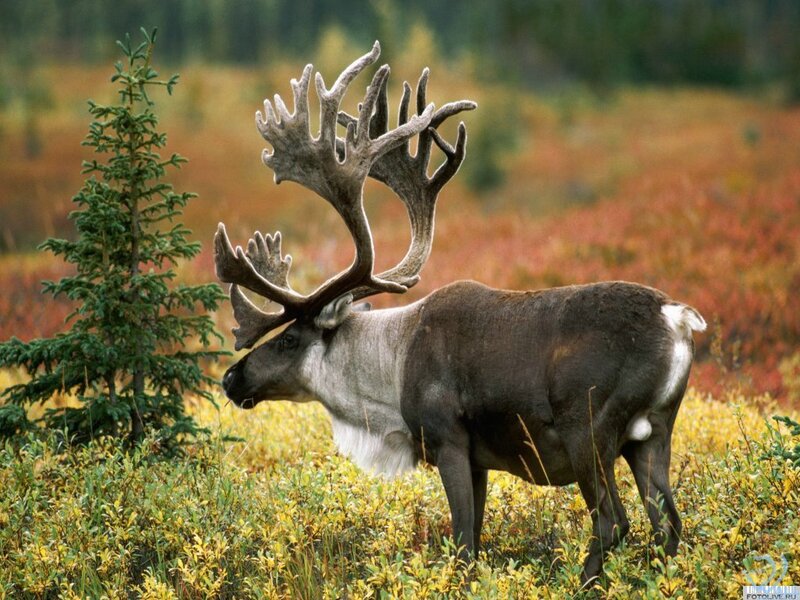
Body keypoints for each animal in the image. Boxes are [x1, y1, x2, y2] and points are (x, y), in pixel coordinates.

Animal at [215, 42, 707, 586]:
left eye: (288, 339)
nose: (232, 378)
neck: (391, 372)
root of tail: (677, 317)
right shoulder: (479, 460)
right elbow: (474, 534)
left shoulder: (448, 440)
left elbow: (463, 541)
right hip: (654, 432)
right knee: (668, 524)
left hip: (590, 429)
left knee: (613, 520)